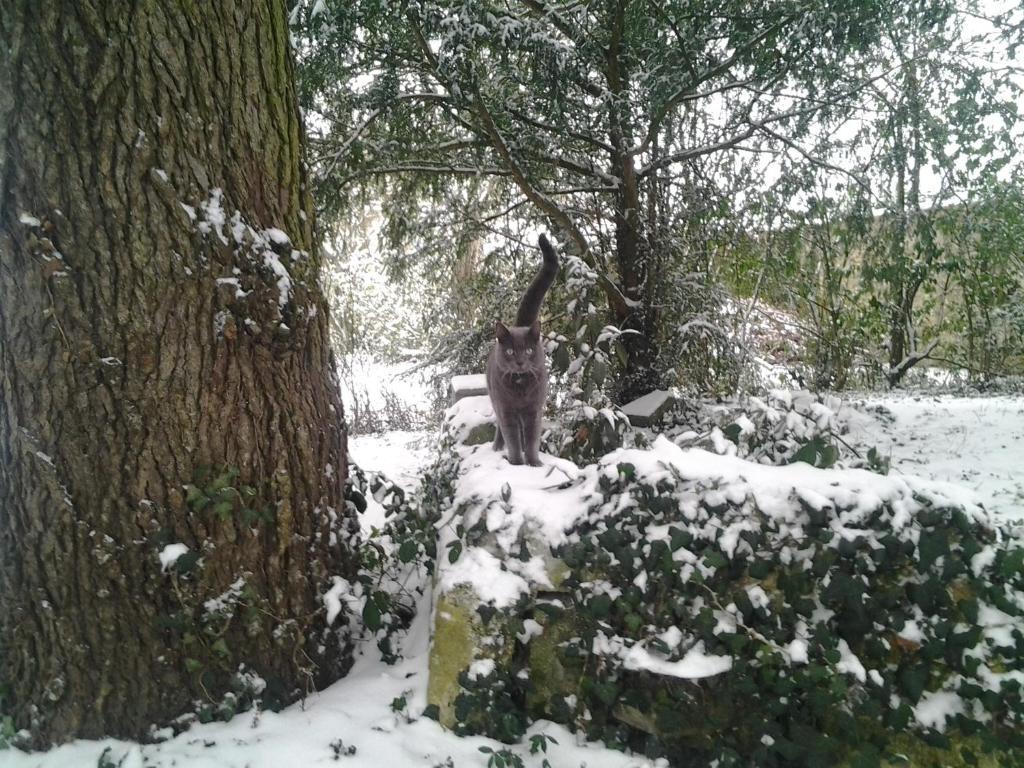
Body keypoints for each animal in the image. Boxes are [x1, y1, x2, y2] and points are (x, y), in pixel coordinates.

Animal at [487, 234, 561, 466]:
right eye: (510, 352)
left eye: (528, 351)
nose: (520, 362)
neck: (520, 387)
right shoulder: (506, 409)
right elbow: (512, 437)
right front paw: (517, 462)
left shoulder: (534, 411)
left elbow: (531, 438)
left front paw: (534, 463)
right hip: (494, 398)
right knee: (501, 429)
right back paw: (497, 447)